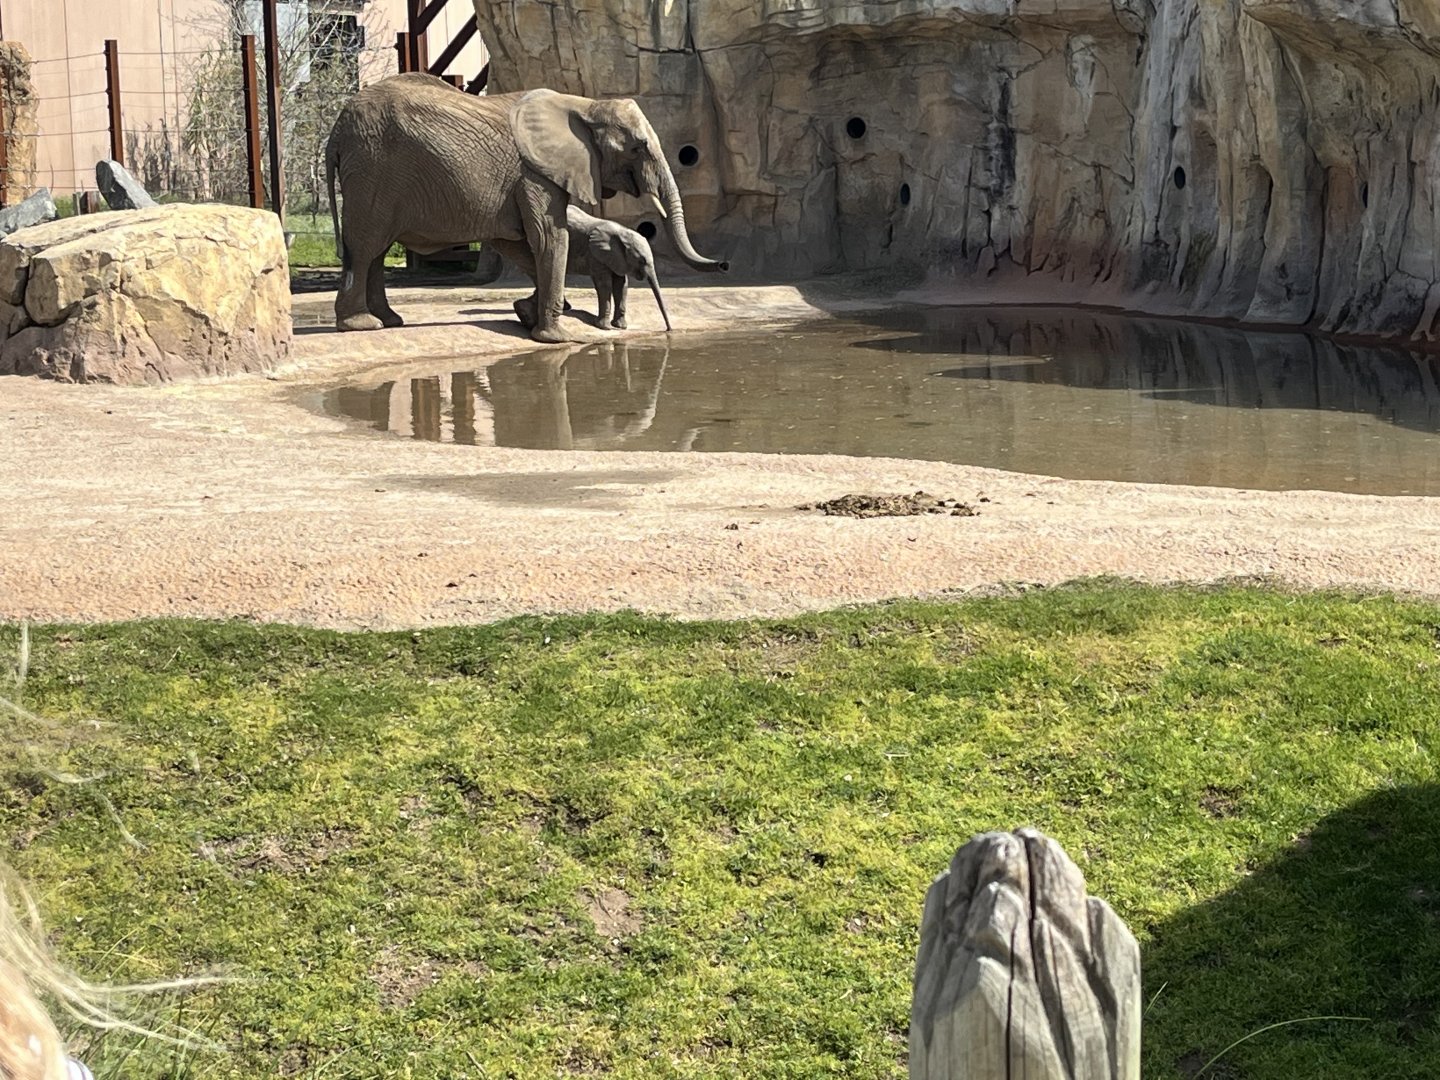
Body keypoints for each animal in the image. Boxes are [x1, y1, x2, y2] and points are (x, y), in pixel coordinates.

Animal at [492, 205, 672, 332]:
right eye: (641, 261)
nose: (668, 329)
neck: (622, 232)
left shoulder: (617, 259)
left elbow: (621, 285)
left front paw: (620, 327)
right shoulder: (596, 255)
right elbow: (604, 285)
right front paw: (605, 327)